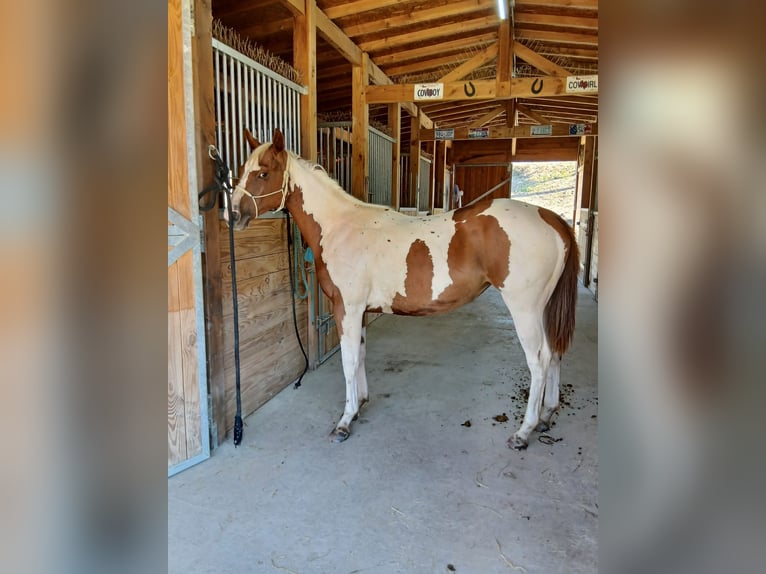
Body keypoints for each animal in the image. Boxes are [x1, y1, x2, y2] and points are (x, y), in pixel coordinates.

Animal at [226, 128, 579, 450]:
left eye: (263, 173)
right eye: (242, 169)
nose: (233, 215)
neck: (340, 227)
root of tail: (550, 218)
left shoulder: (347, 308)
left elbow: (348, 361)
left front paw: (344, 421)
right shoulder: (360, 312)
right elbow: (361, 354)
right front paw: (360, 404)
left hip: (525, 309)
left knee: (538, 360)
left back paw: (524, 431)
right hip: (543, 309)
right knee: (555, 353)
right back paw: (546, 416)